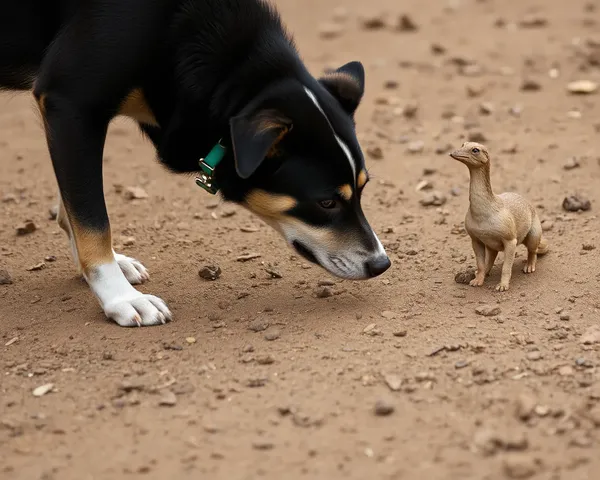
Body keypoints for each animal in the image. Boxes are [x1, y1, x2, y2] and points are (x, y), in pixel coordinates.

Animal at [0, 0, 392, 326]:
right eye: (325, 202)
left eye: (362, 190)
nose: (381, 264)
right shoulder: (70, 103)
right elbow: (92, 218)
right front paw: (120, 297)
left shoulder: (67, 118)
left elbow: (74, 207)